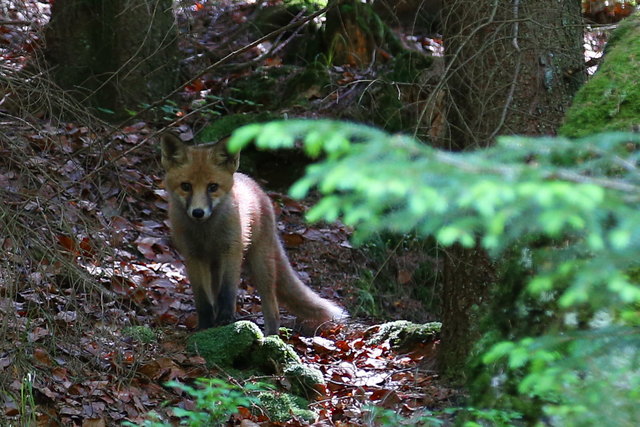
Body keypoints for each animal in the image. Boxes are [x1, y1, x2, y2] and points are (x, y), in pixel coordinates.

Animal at [160, 132, 346, 335]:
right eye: (186, 186)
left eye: (212, 187)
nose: (198, 212)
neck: (207, 233)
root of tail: (254, 184)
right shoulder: (193, 256)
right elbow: (202, 299)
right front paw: (206, 325)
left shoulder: (231, 251)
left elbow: (227, 293)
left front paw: (226, 320)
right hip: (216, 266)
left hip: (260, 265)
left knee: (273, 309)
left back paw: (271, 337)